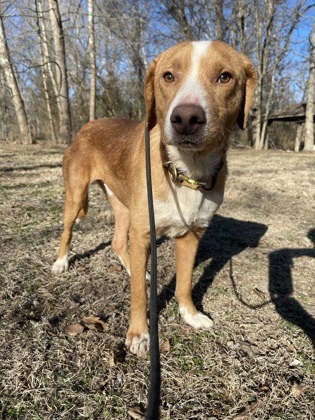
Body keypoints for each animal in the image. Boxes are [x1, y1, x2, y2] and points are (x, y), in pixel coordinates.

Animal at [51, 41, 256, 356]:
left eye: (225, 77)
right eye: (168, 76)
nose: (186, 119)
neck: (186, 172)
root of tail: (86, 126)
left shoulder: (192, 235)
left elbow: (184, 283)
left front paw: (190, 315)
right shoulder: (143, 233)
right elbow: (138, 295)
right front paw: (138, 334)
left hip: (125, 207)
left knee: (118, 242)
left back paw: (135, 269)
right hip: (76, 197)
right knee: (68, 231)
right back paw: (62, 263)